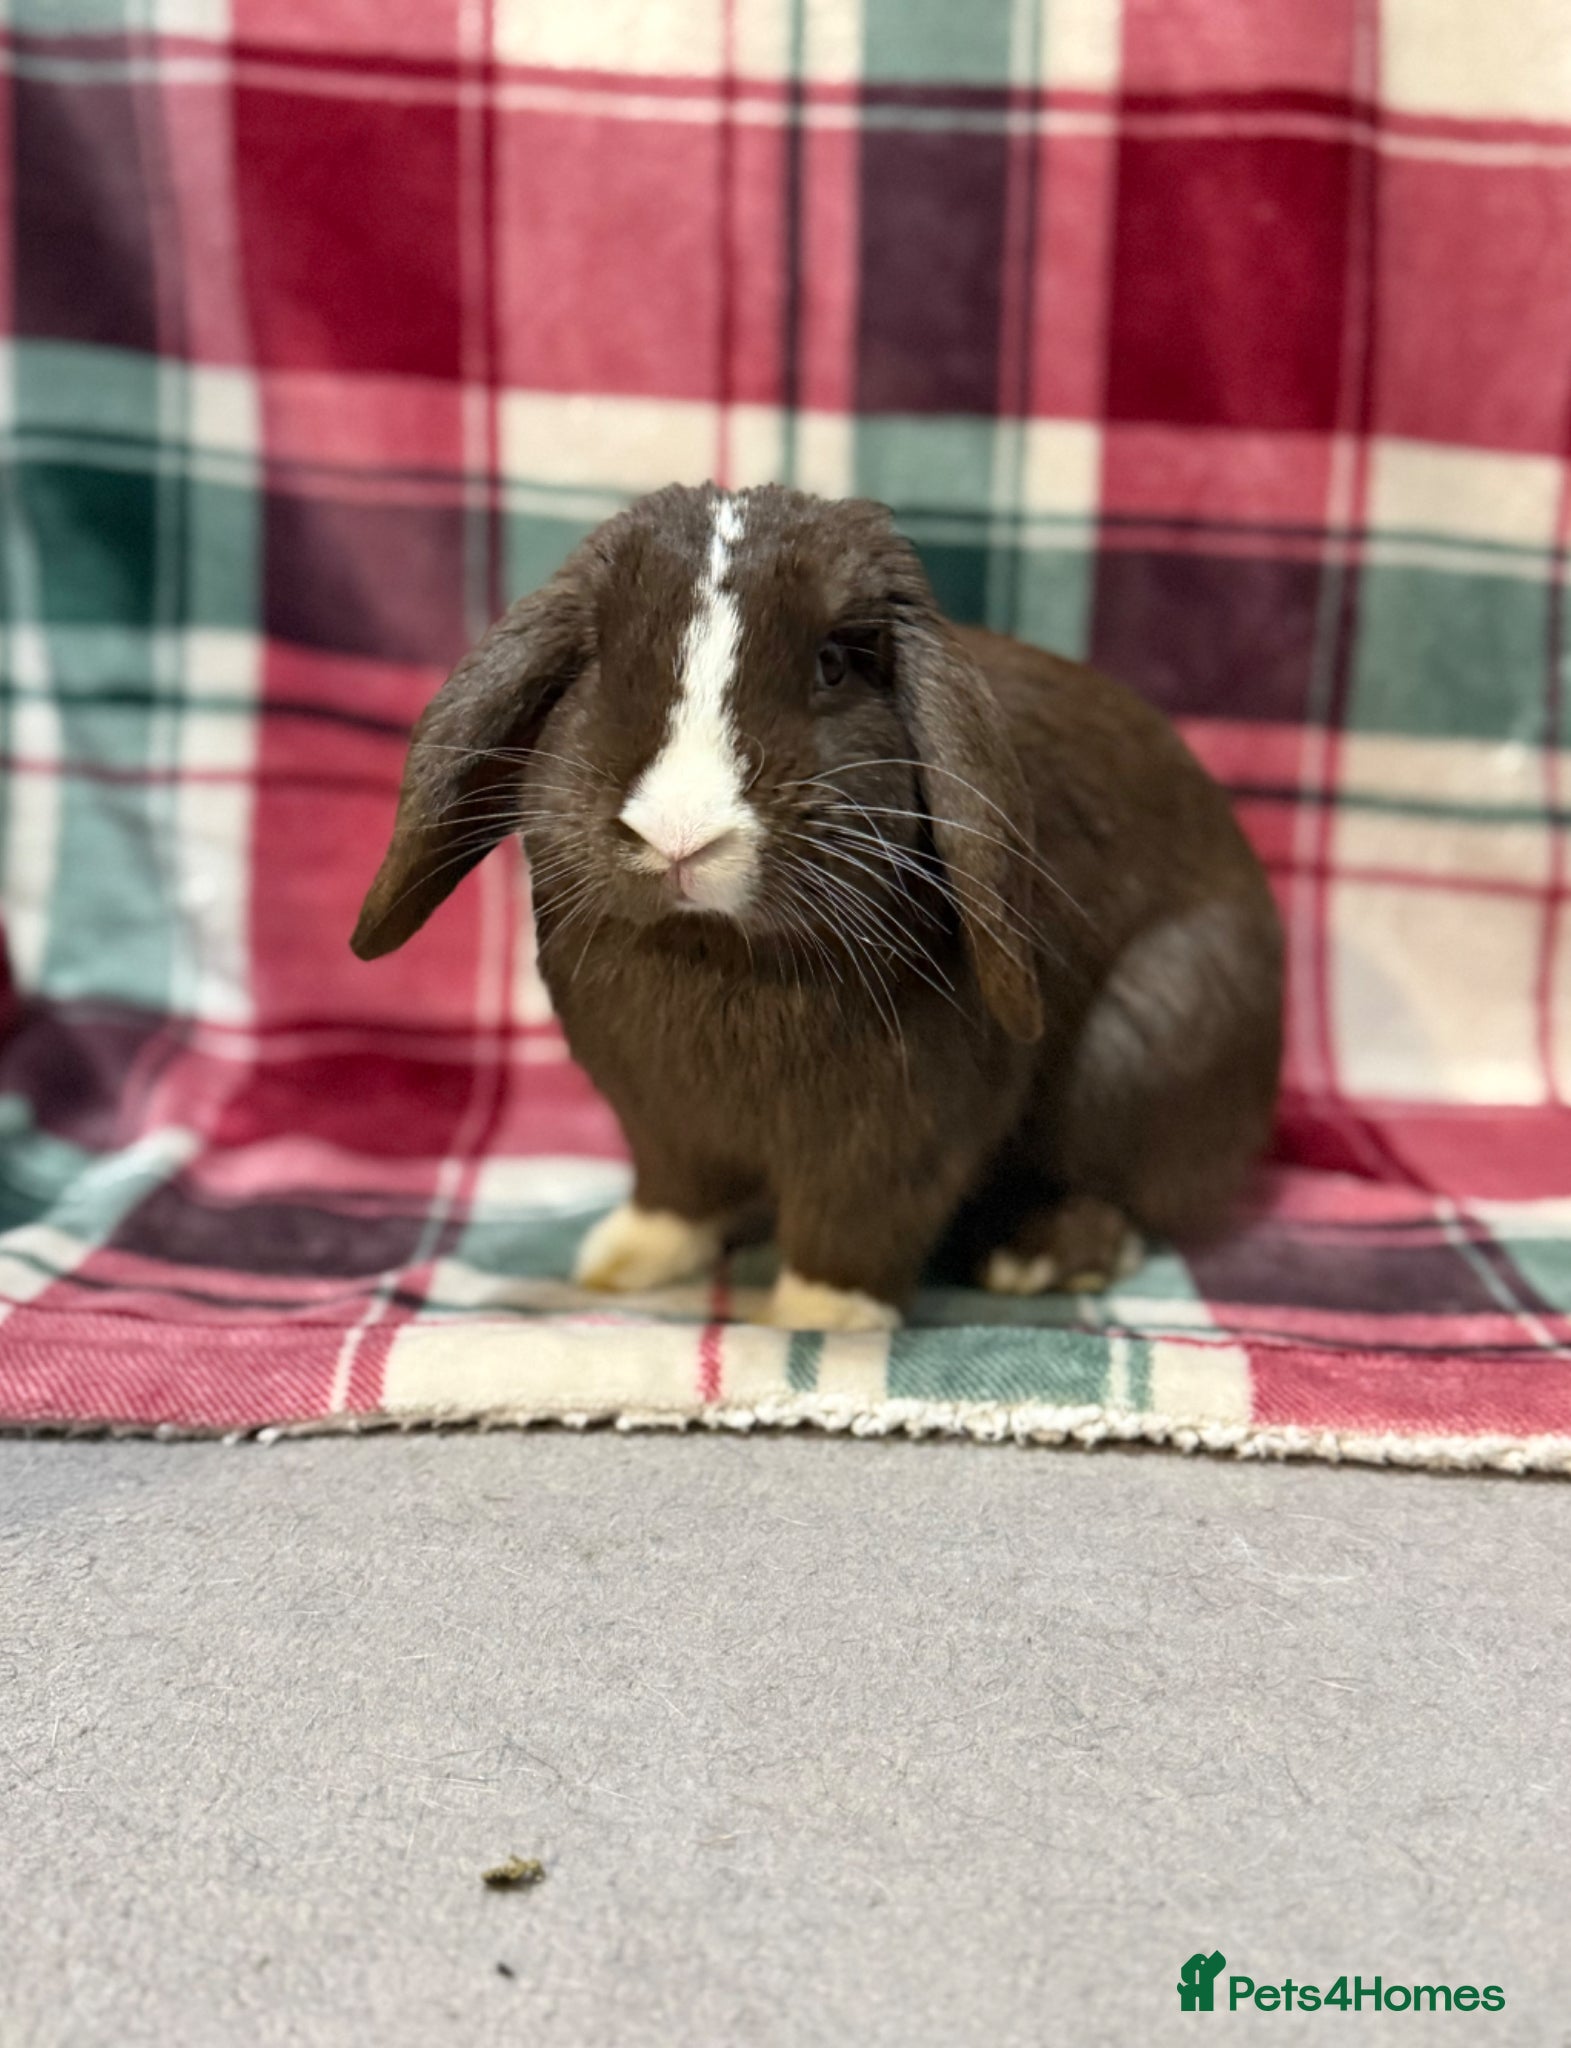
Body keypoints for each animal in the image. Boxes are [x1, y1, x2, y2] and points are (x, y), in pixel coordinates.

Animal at [352, 484, 1283, 1331]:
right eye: (601, 663)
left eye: (833, 663)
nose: (680, 833)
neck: (713, 951)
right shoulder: (659, 1116)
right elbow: (676, 1190)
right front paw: (624, 1260)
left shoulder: (901, 1129)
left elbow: (859, 1217)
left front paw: (820, 1315)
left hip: (1153, 1035)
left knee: (1134, 1191)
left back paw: (1037, 1255)